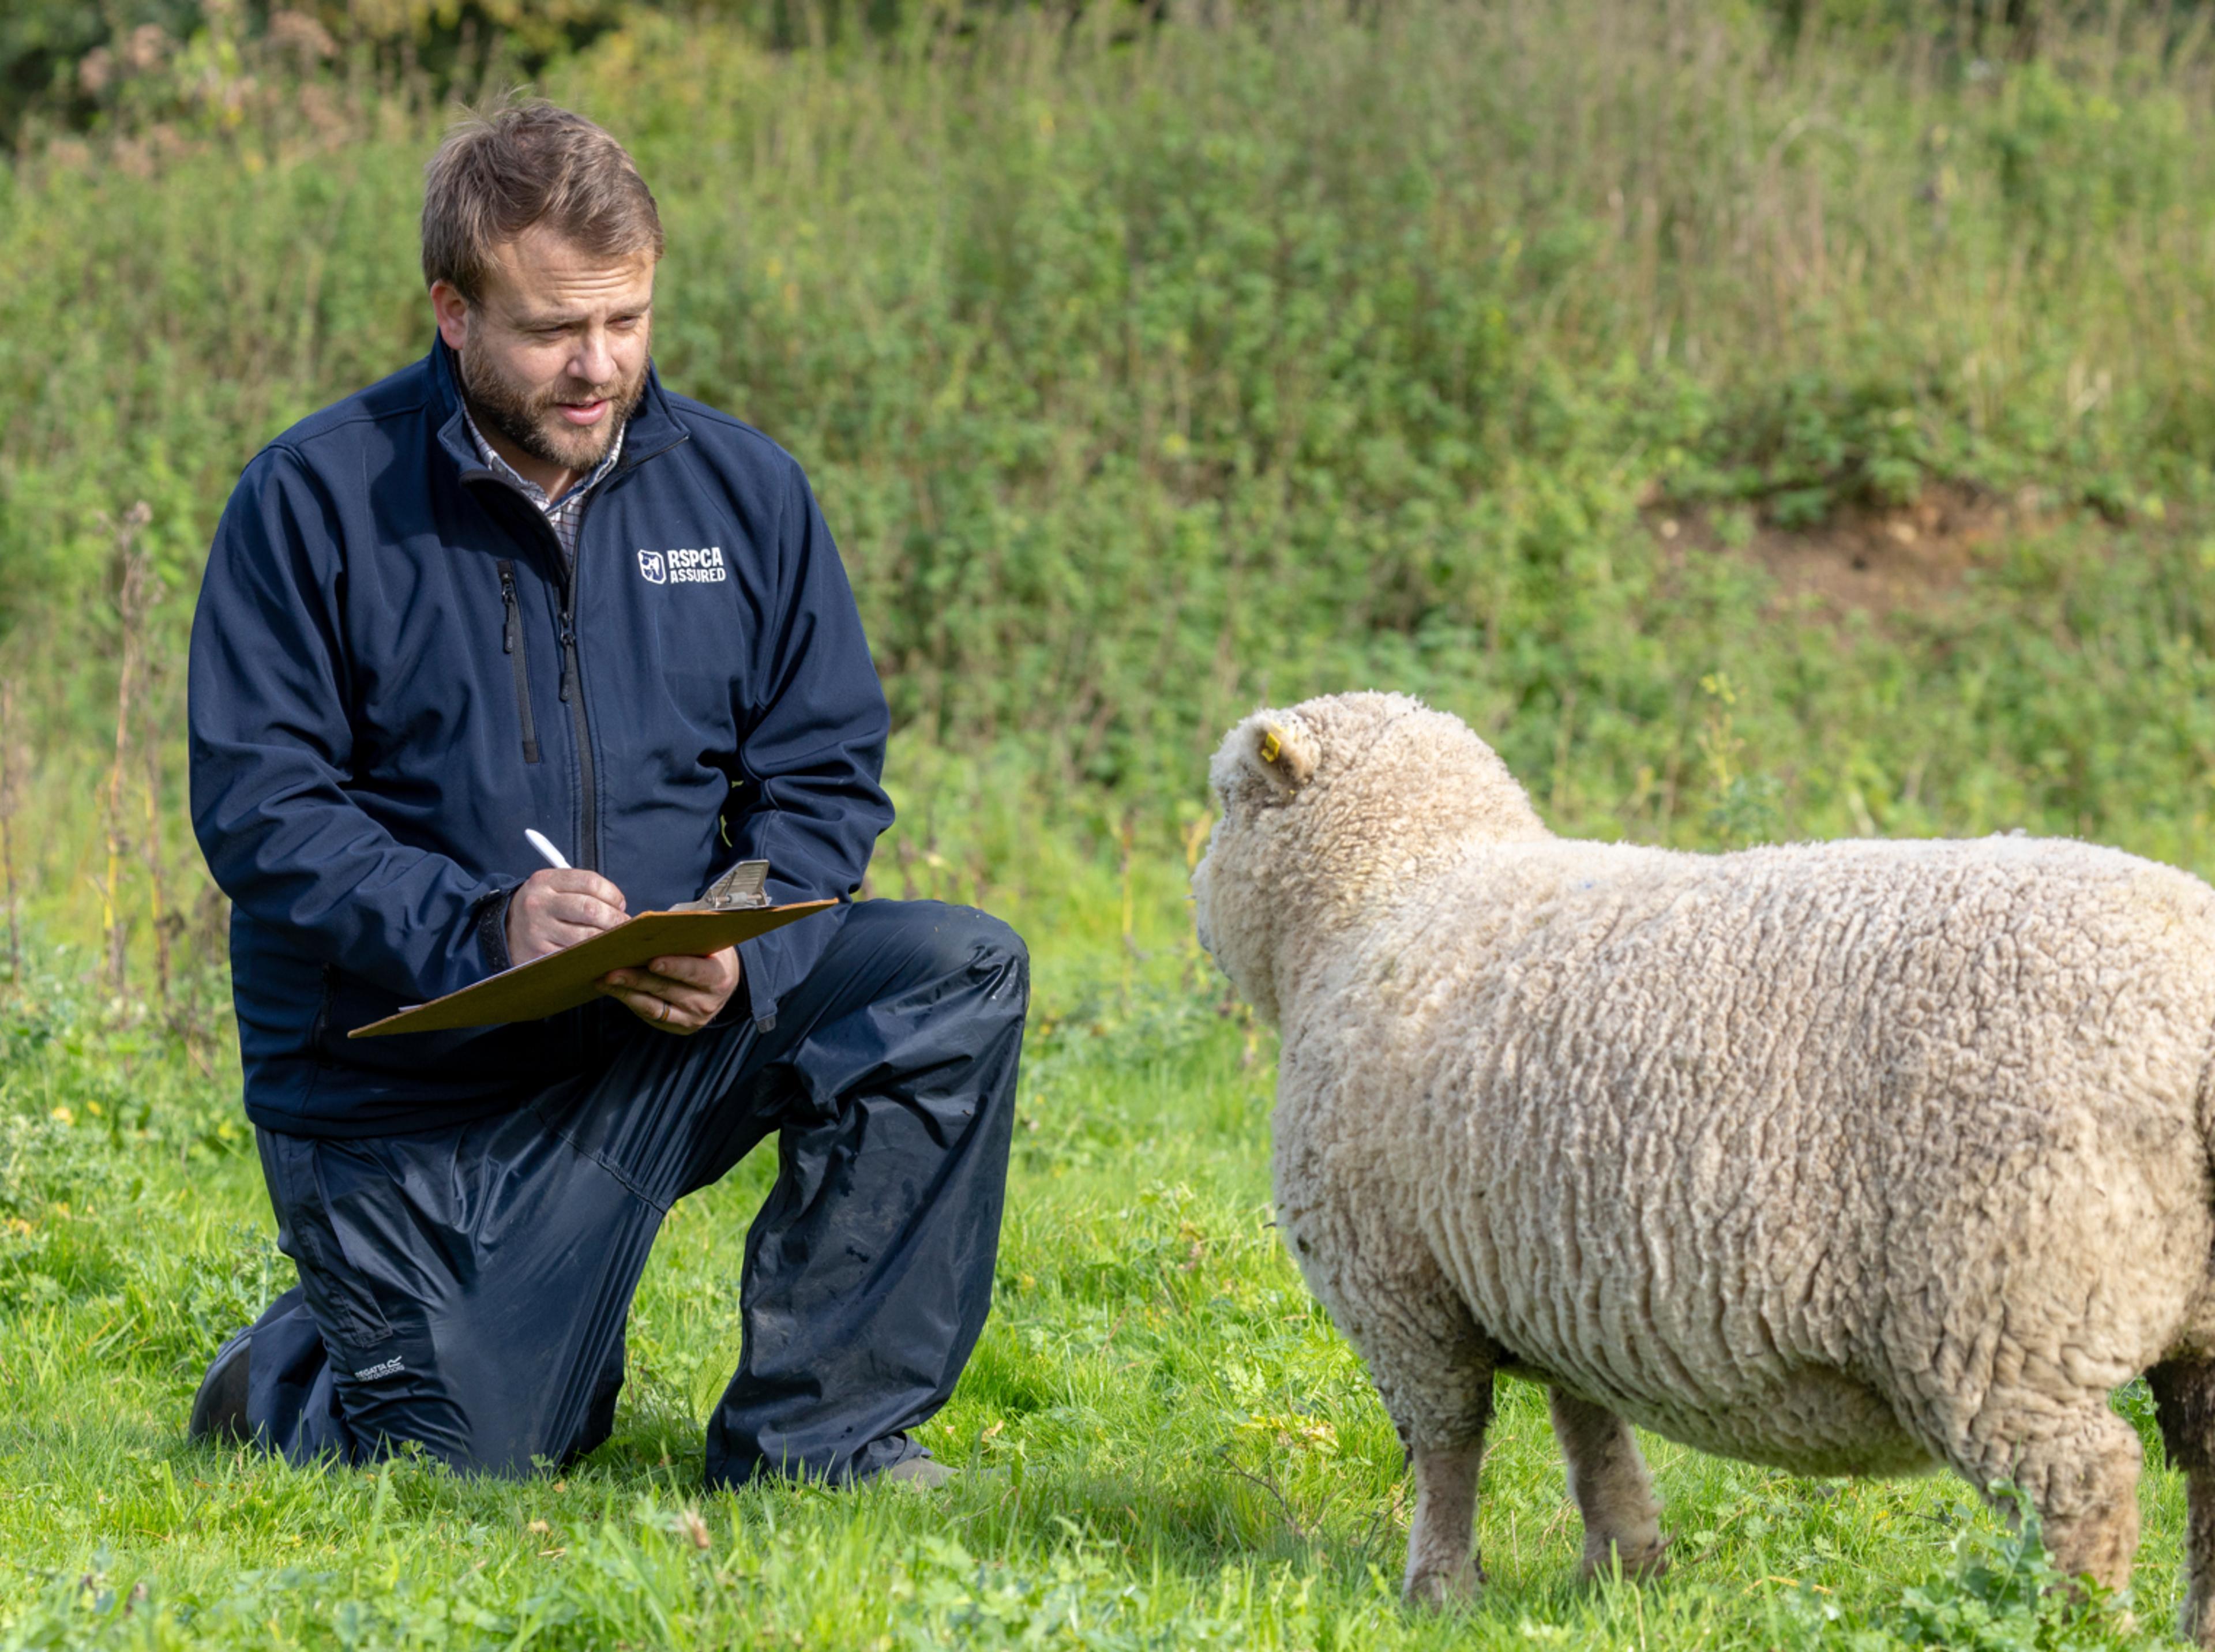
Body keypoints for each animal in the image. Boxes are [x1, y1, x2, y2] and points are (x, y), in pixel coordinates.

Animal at [1190, 690, 2215, 1638]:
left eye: (1227, 800)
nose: (1194, 892)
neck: (1391, 894)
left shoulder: (1399, 1292)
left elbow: (1448, 1449)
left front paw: (1436, 1593)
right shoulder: (1555, 1275)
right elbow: (1590, 1432)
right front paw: (1623, 1568)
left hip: (2000, 1302)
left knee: (2086, 1487)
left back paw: (2073, 1628)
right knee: (2201, 1464)